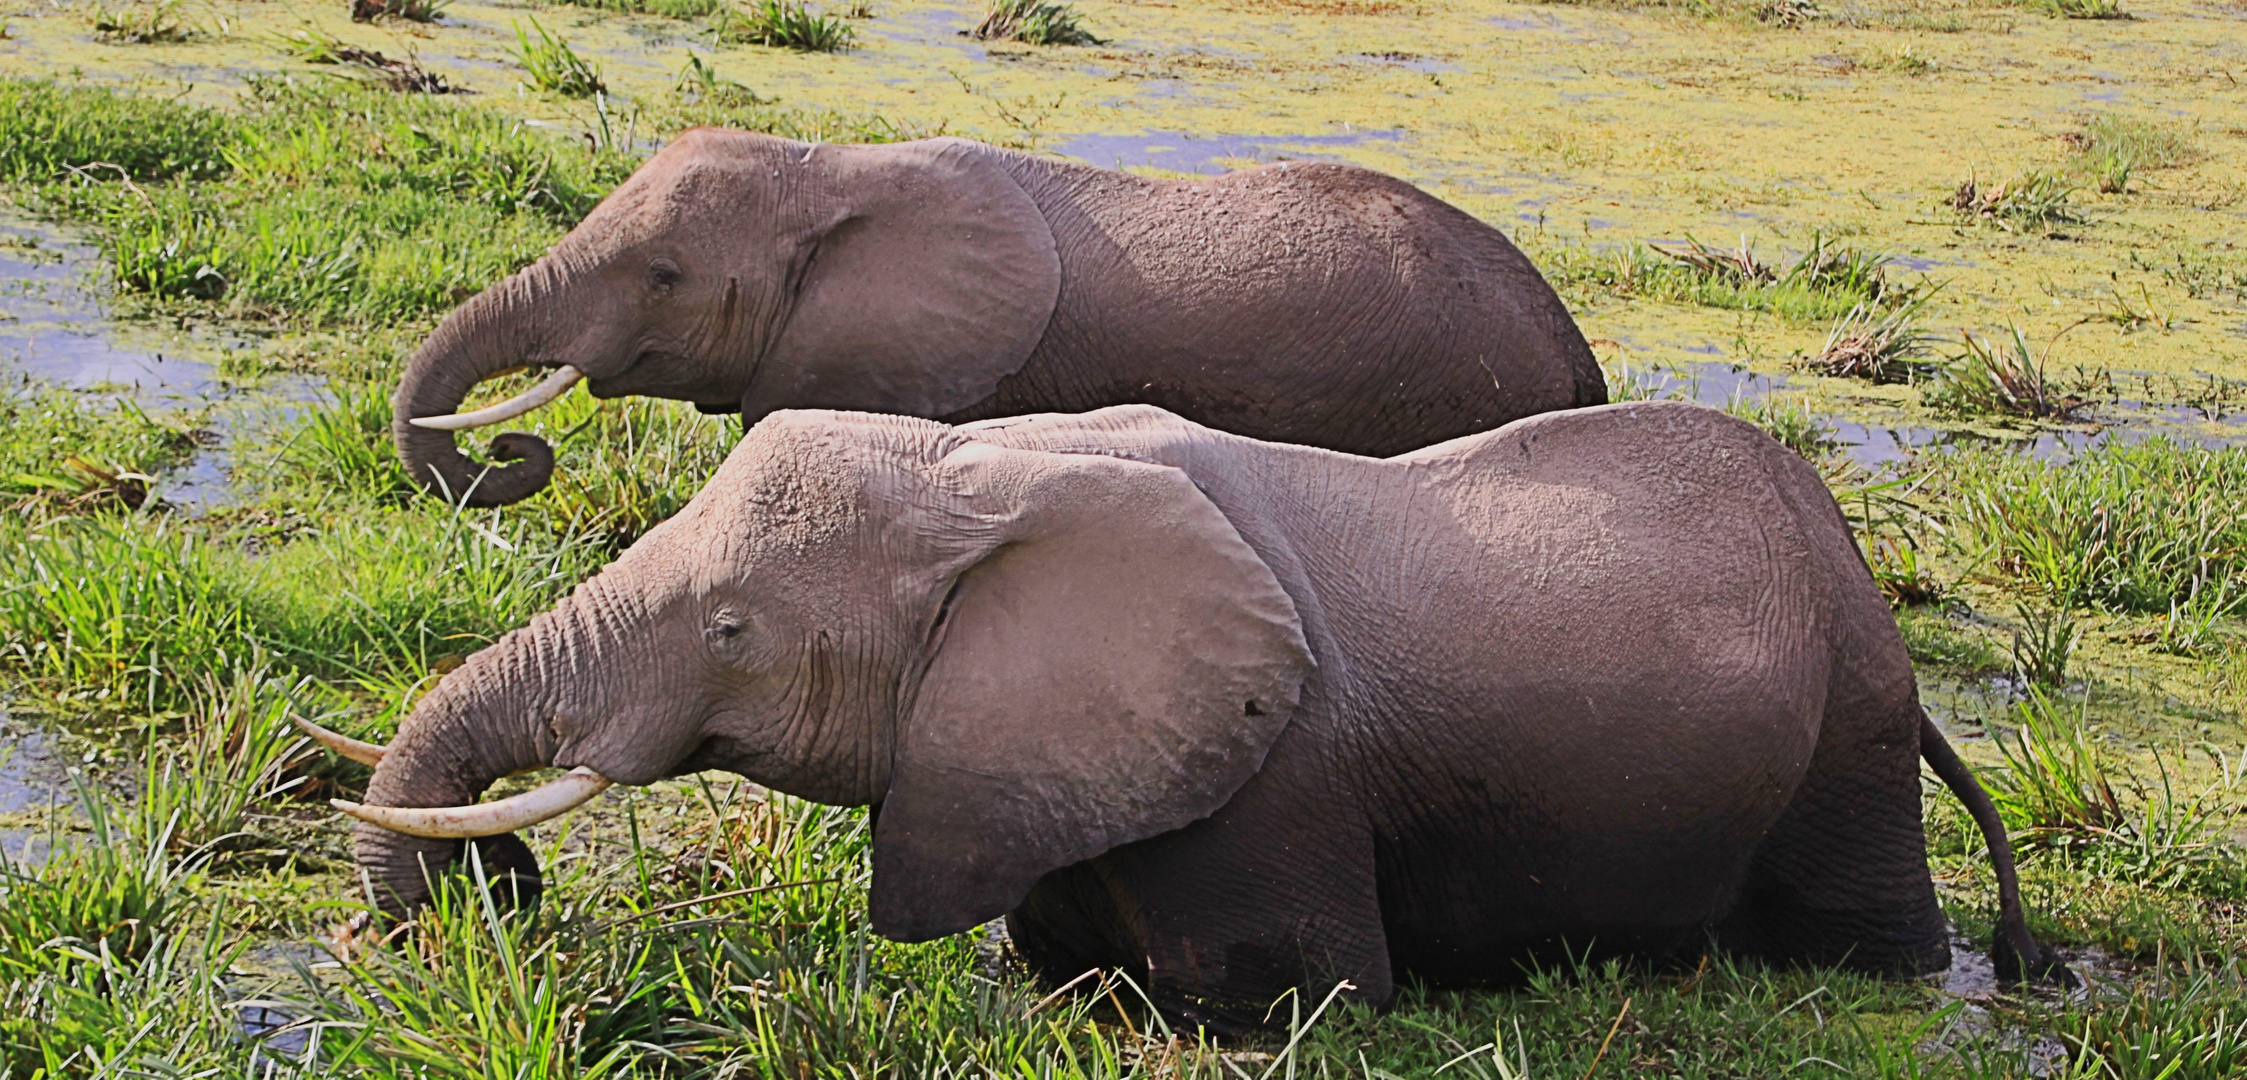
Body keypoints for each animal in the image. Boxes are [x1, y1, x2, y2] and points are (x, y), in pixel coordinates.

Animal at [321, 397, 2067, 1019]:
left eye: (732, 629)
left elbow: (1273, 1003)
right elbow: (1056, 965)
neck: (982, 472)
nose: (497, 892)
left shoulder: (1272, 779)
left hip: (1846, 733)